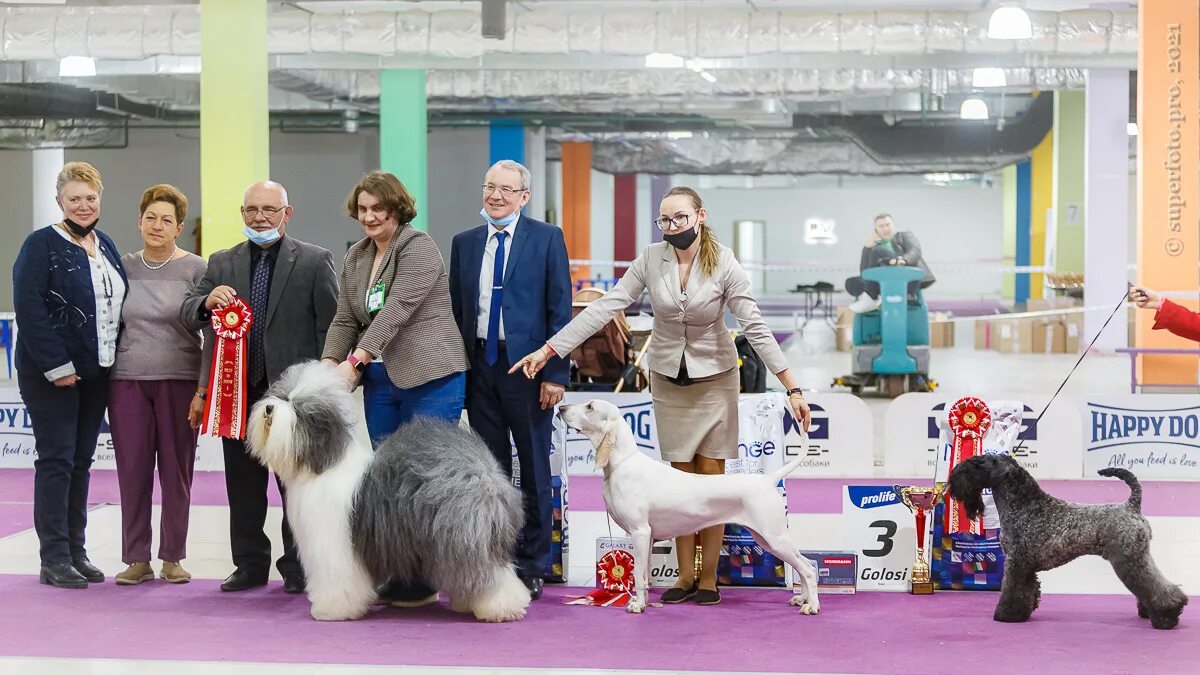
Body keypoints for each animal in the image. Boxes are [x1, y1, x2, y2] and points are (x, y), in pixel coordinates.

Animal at [244, 362, 530, 619]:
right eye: (282, 395)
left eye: (298, 407)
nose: (268, 408)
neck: (322, 465)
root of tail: (483, 471)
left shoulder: (333, 548)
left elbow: (337, 581)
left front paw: (330, 610)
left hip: (459, 536)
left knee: (486, 572)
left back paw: (502, 608)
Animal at [556, 398, 820, 614]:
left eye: (590, 406)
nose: (561, 408)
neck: (622, 463)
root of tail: (767, 479)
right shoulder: (648, 537)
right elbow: (645, 575)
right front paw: (645, 601)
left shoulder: (639, 532)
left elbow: (639, 576)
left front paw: (637, 606)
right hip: (767, 538)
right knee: (803, 565)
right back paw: (801, 599)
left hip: (774, 537)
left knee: (807, 569)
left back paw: (812, 606)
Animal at [950, 451, 1185, 624]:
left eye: (977, 464)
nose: (953, 479)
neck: (1024, 506)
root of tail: (1132, 506)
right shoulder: (1026, 566)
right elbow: (1028, 590)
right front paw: (1023, 612)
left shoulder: (1016, 562)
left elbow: (1012, 589)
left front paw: (1006, 615)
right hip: (1137, 557)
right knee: (1153, 581)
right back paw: (1150, 612)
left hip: (1128, 559)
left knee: (1154, 585)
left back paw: (1167, 616)